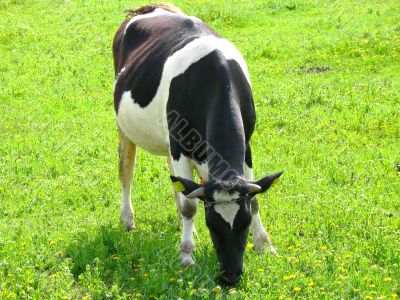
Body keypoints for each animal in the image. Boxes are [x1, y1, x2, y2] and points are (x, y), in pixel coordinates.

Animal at [111, 2, 282, 284]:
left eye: (244, 222)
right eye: (212, 223)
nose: (231, 275)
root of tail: (150, 8)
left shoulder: (247, 146)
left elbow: (255, 198)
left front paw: (264, 245)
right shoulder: (180, 148)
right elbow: (190, 206)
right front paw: (186, 256)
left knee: (176, 181)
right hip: (126, 127)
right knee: (127, 170)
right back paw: (128, 220)